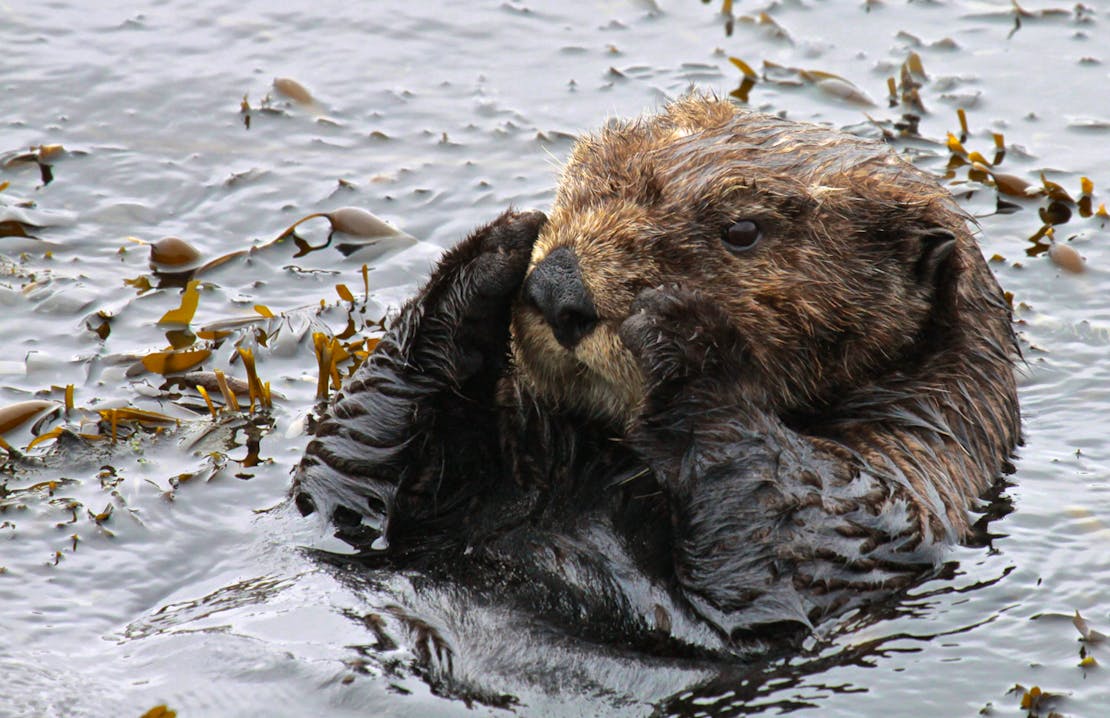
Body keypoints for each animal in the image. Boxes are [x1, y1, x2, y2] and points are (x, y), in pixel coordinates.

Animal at [290, 94, 1016, 652]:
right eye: (578, 180)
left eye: (744, 230)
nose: (558, 287)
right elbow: (341, 478)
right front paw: (495, 249)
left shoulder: (903, 488)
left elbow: (788, 537)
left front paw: (682, 329)